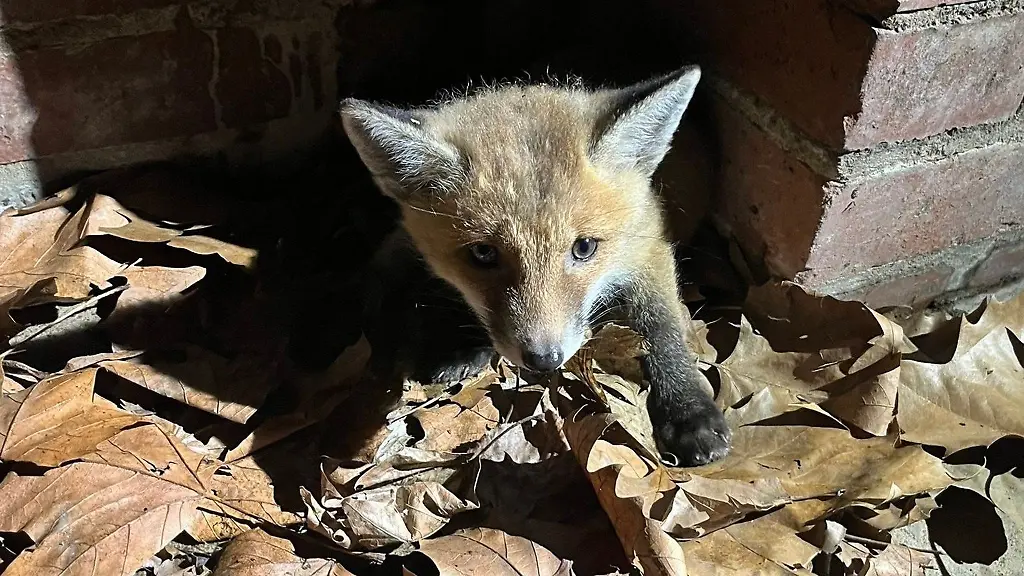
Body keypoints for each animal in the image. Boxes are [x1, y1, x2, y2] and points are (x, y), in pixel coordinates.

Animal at [339, 65, 731, 467]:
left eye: (584, 248)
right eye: (483, 253)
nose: (544, 360)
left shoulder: (646, 244)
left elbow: (661, 326)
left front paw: (687, 410)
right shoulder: (401, 246)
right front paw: (459, 344)